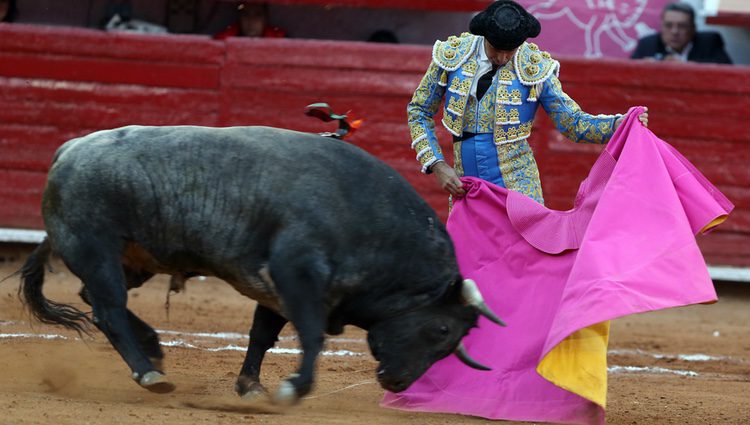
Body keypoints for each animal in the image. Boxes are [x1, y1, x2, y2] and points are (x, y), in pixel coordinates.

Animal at [19, 124, 506, 402]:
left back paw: (154, 349)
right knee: (108, 310)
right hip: (96, 247)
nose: (400, 384)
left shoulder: (274, 286)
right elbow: (310, 336)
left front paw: (250, 386)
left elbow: (262, 334)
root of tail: (68, 150)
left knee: (97, 299)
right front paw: (293, 388)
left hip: (133, 258)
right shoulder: (297, 273)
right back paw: (149, 373)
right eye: (441, 330)